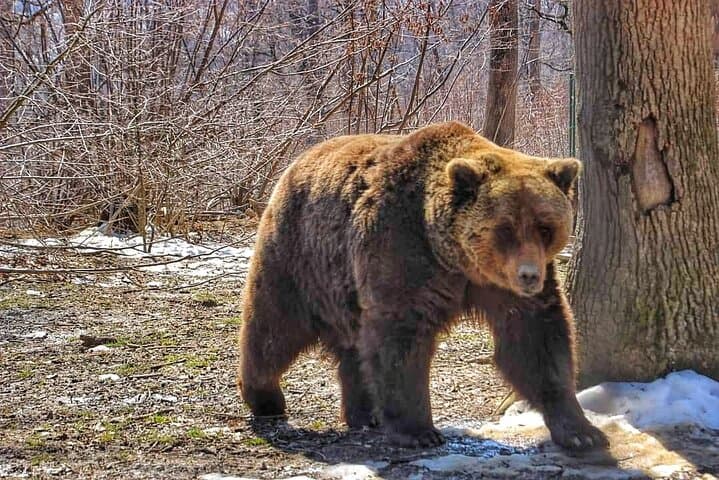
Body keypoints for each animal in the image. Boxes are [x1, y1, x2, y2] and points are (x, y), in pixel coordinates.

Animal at [237, 121, 608, 451]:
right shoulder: (403, 250)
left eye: (545, 227)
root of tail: (298, 160)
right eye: (505, 228)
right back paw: (265, 397)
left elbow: (536, 341)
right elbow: (401, 341)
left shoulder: (501, 288)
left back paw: (365, 412)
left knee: (353, 344)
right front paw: (418, 431)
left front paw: (583, 432)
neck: (455, 258)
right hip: (300, 256)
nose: (529, 275)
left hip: (344, 285)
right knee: (273, 327)